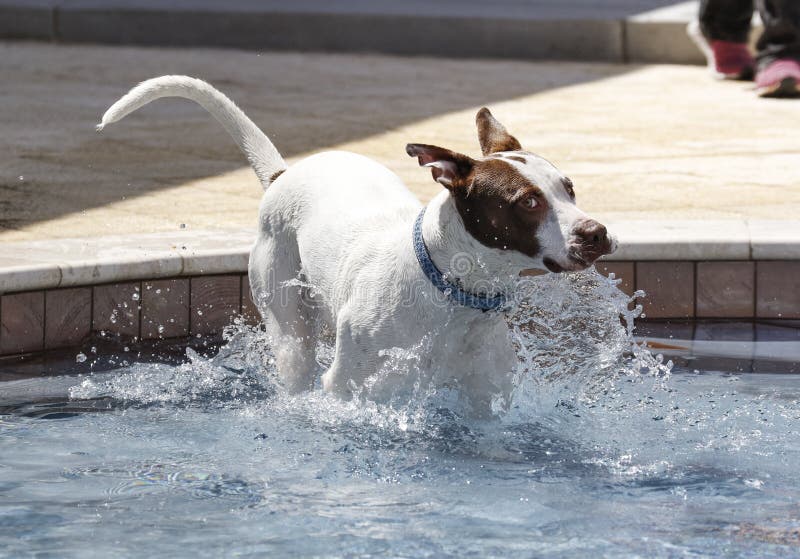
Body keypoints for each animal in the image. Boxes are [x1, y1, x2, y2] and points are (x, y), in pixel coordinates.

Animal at [98, 75, 612, 416]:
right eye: (528, 201)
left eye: (569, 188)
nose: (597, 233)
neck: (449, 293)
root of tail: (285, 174)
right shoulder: (352, 391)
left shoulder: (484, 398)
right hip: (287, 322)